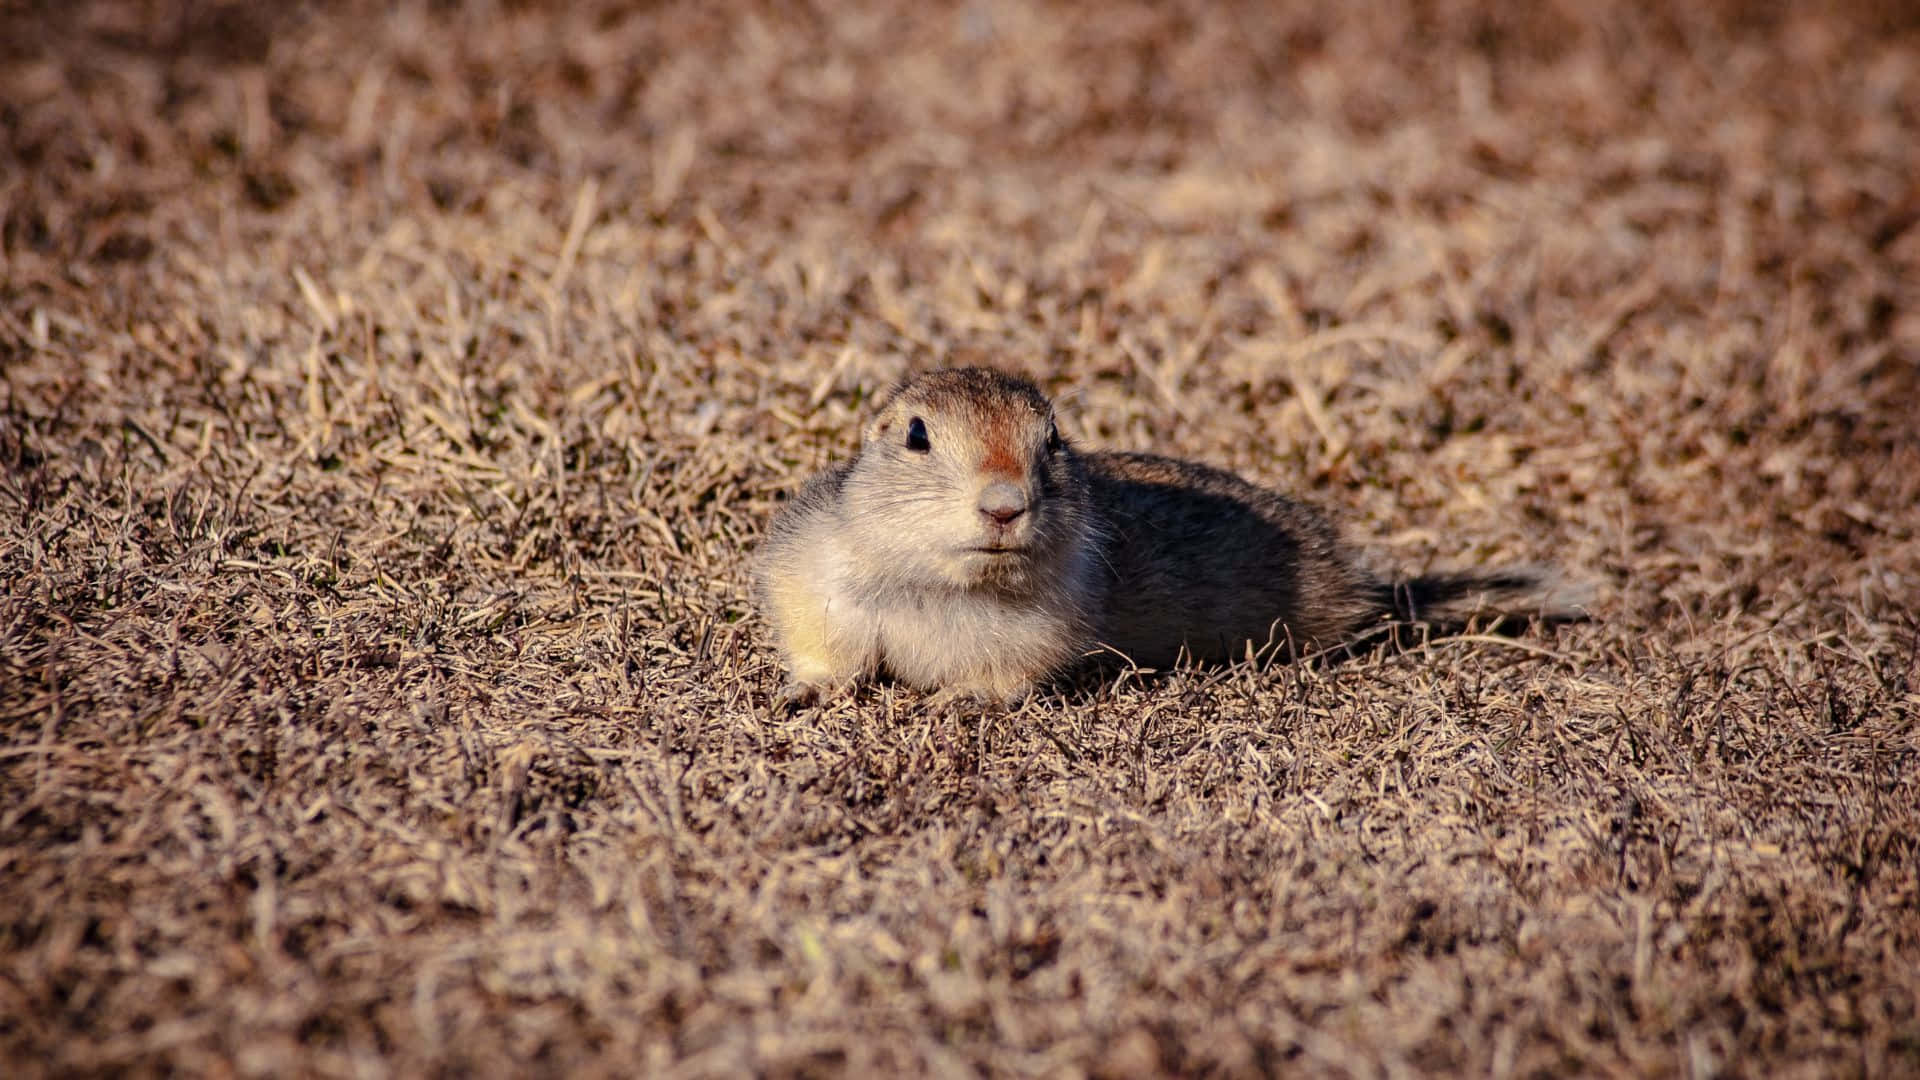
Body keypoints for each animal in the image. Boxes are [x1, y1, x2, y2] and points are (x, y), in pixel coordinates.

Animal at [756, 365, 1566, 703]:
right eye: (917, 435)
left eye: (1054, 440)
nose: (1005, 506)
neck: (943, 582)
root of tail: (1366, 587)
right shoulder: (817, 579)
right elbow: (828, 654)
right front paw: (802, 693)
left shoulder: (1035, 636)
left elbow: (1005, 682)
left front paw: (955, 701)